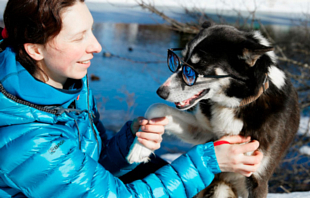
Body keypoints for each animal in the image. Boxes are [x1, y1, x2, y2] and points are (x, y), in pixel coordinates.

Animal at [126, 22, 300, 198]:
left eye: (199, 66)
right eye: (181, 60)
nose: (160, 92)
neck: (236, 104)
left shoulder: (258, 179)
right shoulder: (203, 131)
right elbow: (156, 107)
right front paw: (141, 146)